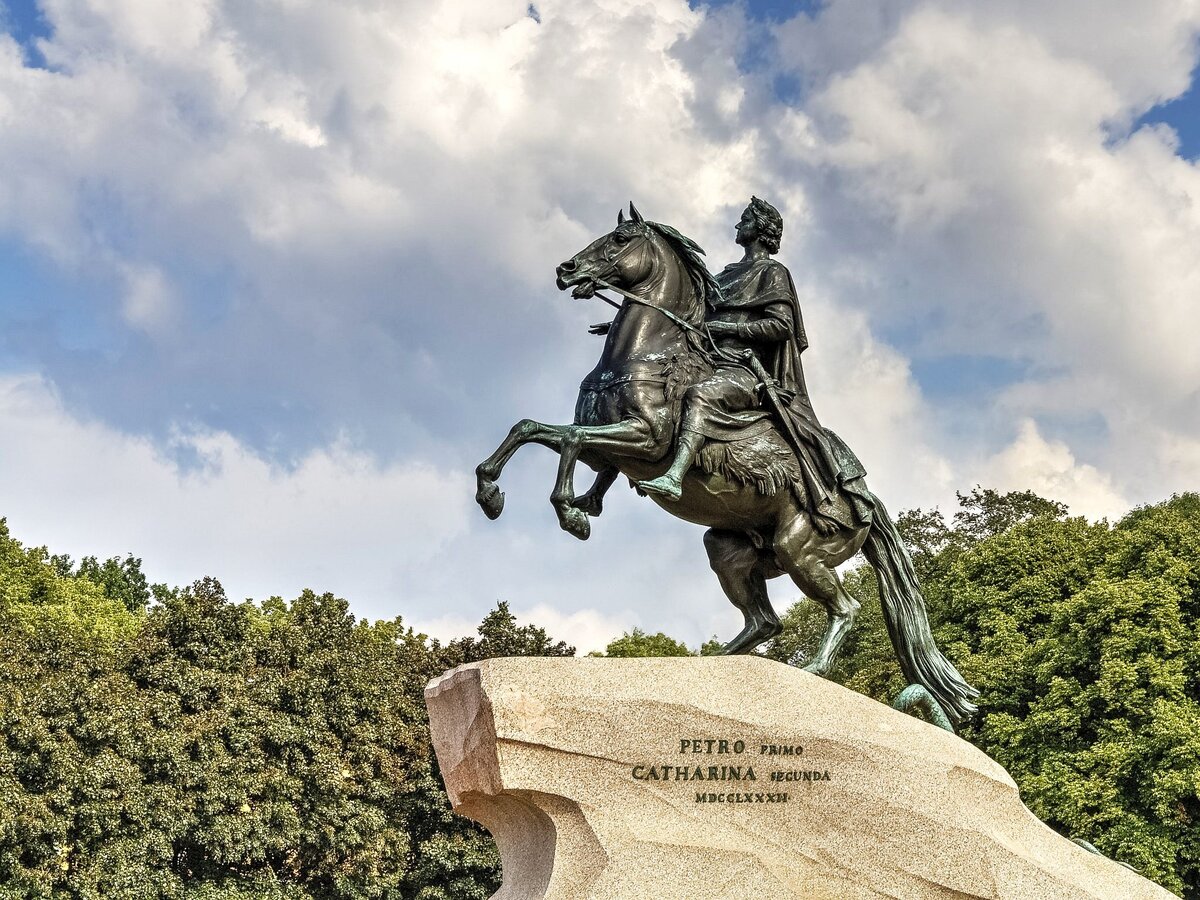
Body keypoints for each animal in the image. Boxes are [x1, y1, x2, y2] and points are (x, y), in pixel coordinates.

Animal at [472, 204, 979, 724]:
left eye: (619, 239)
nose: (566, 270)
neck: (649, 353)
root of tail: (867, 502)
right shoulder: (606, 445)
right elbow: (531, 429)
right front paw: (493, 493)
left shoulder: (644, 440)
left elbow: (570, 439)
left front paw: (570, 512)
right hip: (730, 550)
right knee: (764, 621)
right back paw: (717, 663)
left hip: (801, 549)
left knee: (845, 608)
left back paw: (811, 670)